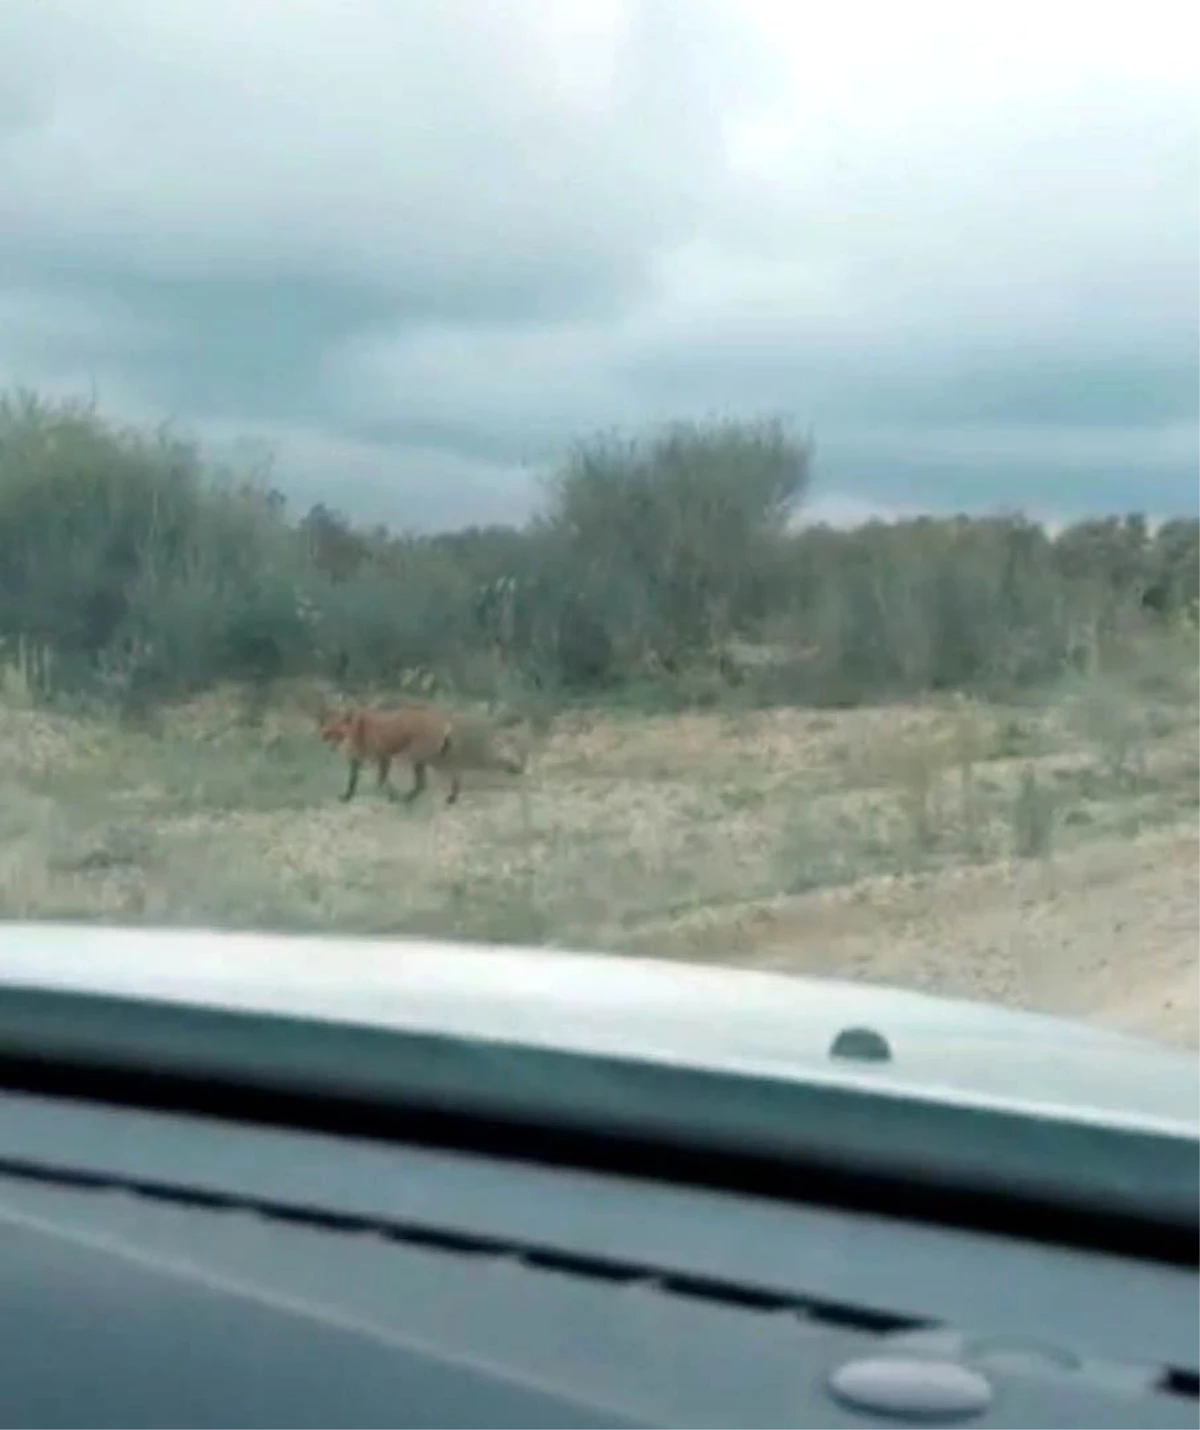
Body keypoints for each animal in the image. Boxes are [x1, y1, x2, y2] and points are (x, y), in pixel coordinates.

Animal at [318, 700, 526, 806]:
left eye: (334, 731)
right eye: (326, 729)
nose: (323, 737)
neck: (356, 730)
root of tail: (441, 719)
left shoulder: (383, 757)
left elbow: (382, 781)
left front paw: (392, 796)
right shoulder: (357, 761)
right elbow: (352, 782)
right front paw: (347, 797)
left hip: (420, 758)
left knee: (425, 783)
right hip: (433, 759)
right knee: (450, 775)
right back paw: (450, 797)